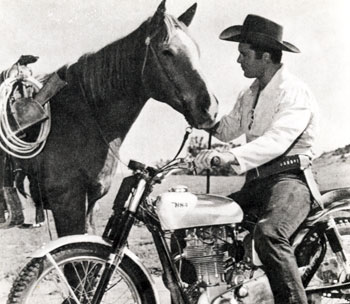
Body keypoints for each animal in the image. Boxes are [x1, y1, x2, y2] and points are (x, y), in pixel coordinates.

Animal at [17, 0, 219, 238]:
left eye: (197, 50)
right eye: (167, 51)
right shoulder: (66, 203)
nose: (211, 108)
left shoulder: (89, 204)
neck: (82, 119)